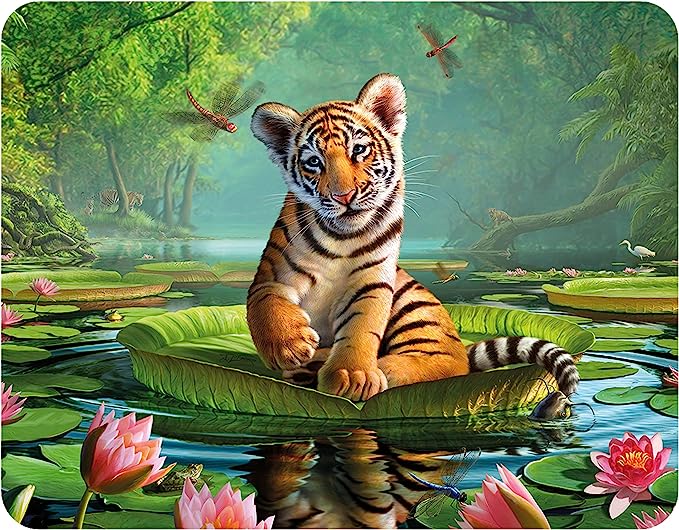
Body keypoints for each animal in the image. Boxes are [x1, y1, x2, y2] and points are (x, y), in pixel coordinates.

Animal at [248, 73, 579, 402]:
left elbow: (361, 326)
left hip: (416, 308)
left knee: (445, 364)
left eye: (359, 150)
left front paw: (352, 376)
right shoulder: (271, 276)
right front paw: (289, 347)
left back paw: (368, 368)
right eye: (314, 162)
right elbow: (266, 304)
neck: (342, 237)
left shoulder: (372, 282)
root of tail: (463, 347)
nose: (344, 196)